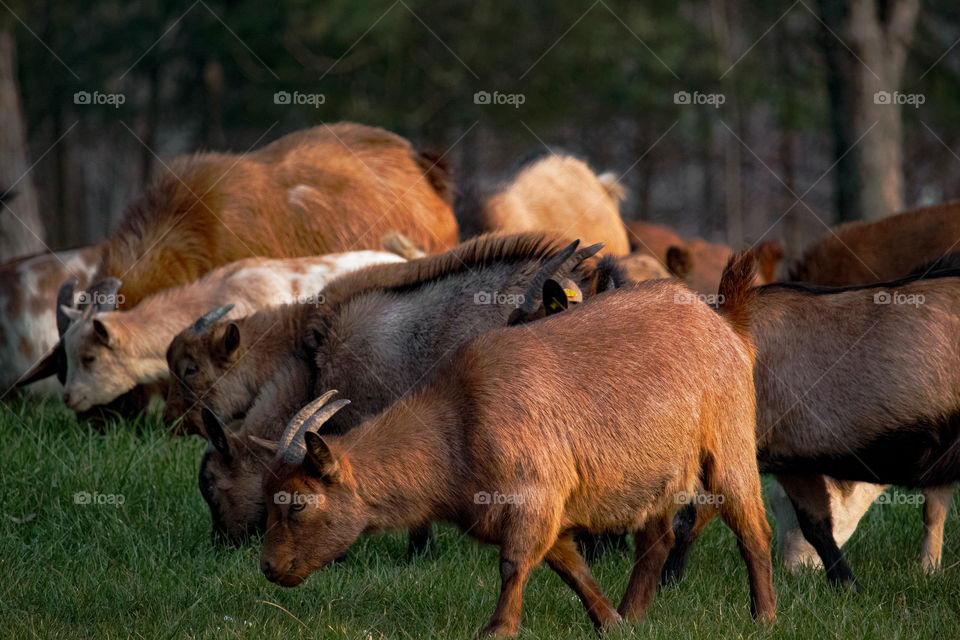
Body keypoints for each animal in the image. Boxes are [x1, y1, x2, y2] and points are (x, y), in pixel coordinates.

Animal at [257, 262, 774, 637]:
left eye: (299, 503)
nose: (268, 568)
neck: (458, 422)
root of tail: (721, 324)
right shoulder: (547, 511)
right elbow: (569, 566)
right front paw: (612, 622)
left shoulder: (535, 497)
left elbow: (514, 564)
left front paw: (498, 629)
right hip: (654, 476)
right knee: (657, 541)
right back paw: (637, 613)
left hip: (729, 450)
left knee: (752, 530)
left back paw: (764, 616)